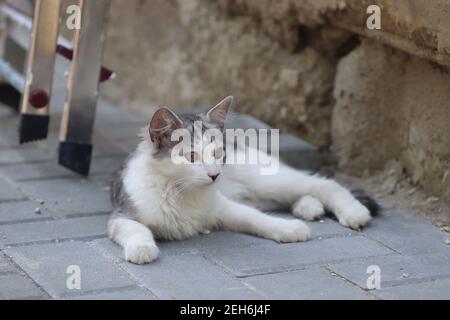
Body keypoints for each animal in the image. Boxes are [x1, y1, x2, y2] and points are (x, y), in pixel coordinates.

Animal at [107, 96, 378, 264]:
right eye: (191, 156)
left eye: (218, 153)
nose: (214, 175)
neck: (181, 192)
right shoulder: (120, 216)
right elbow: (137, 228)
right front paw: (142, 248)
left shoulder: (222, 207)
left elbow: (256, 219)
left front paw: (287, 228)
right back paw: (309, 207)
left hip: (268, 180)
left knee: (323, 183)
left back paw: (352, 211)